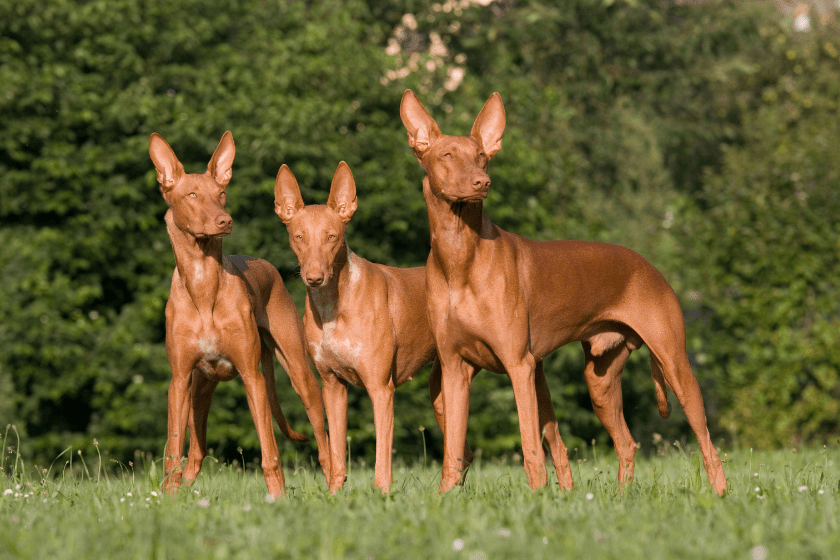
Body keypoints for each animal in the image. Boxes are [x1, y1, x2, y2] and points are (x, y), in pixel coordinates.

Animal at [151, 132, 332, 498]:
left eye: (221, 193)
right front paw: (169, 497)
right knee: (196, 451)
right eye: (192, 195)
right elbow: (173, 449)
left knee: (323, 440)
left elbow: (270, 451)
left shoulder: (253, 377)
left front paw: (277, 497)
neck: (203, 284)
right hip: (199, 390)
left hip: (300, 374)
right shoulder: (179, 381)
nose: (225, 220)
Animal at [276, 163, 466, 494]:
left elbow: (381, 460)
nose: (314, 277)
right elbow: (337, 456)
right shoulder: (332, 387)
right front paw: (335, 496)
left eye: (332, 236)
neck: (333, 307)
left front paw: (382, 496)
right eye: (299, 236)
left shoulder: (381, 389)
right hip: (441, 392)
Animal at [400, 89, 728, 496]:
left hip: (675, 364)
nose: (481, 182)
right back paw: (621, 497)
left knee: (707, 442)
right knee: (627, 442)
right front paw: (445, 497)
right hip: (598, 381)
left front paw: (536, 495)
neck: (460, 258)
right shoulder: (454, 369)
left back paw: (720, 494)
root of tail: (648, 265)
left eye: (482, 156)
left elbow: (529, 443)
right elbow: (454, 448)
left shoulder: (520, 366)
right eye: (447, 155)